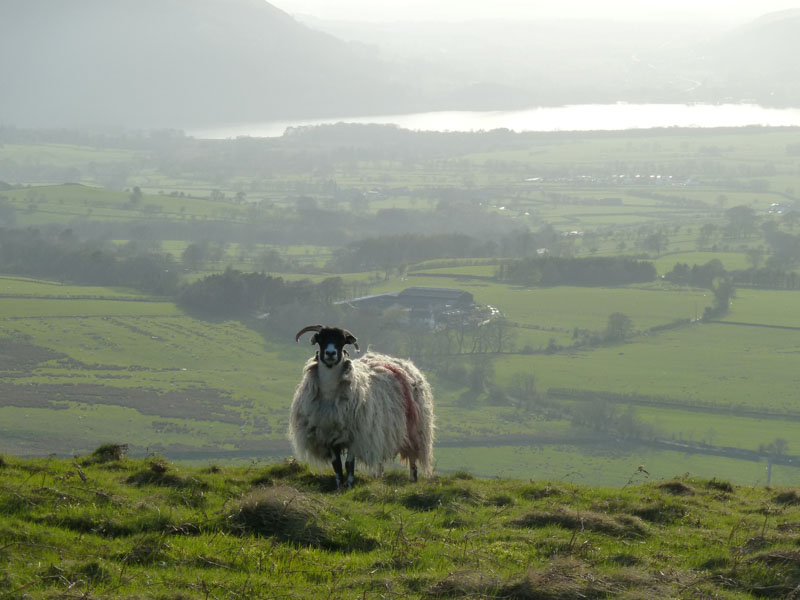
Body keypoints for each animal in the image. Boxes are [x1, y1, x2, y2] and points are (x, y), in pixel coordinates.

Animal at [290, 326, 434, 490]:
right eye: (321, 339)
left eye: (341, 341)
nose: (330, 353)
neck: (330, 393)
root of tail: (402, 363)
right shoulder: (329, 435)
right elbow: (337, 465)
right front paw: (339, 487)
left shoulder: (356, 436)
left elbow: (349, 464)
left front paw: (349, 486)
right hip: (381, 430)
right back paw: (378, 476)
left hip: (415, 429)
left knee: (412, 456)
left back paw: (413, 479)